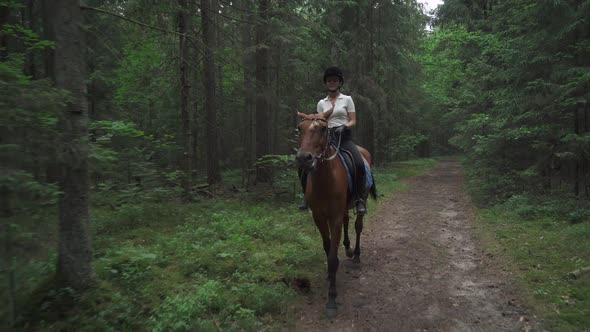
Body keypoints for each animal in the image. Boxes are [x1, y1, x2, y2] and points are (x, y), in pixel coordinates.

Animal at [296, 110, 380, 316]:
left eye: (323, 128)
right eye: (299, 128)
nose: (303, 158)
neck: (325, 180)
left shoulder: (333, 217)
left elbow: (333, 257)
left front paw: (332, 299)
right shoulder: (319, 216)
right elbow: (327, 249)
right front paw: (329, 276)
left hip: (362, 200)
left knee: (357, 225)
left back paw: (356, 255)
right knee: (347, 221)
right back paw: (348, 249)